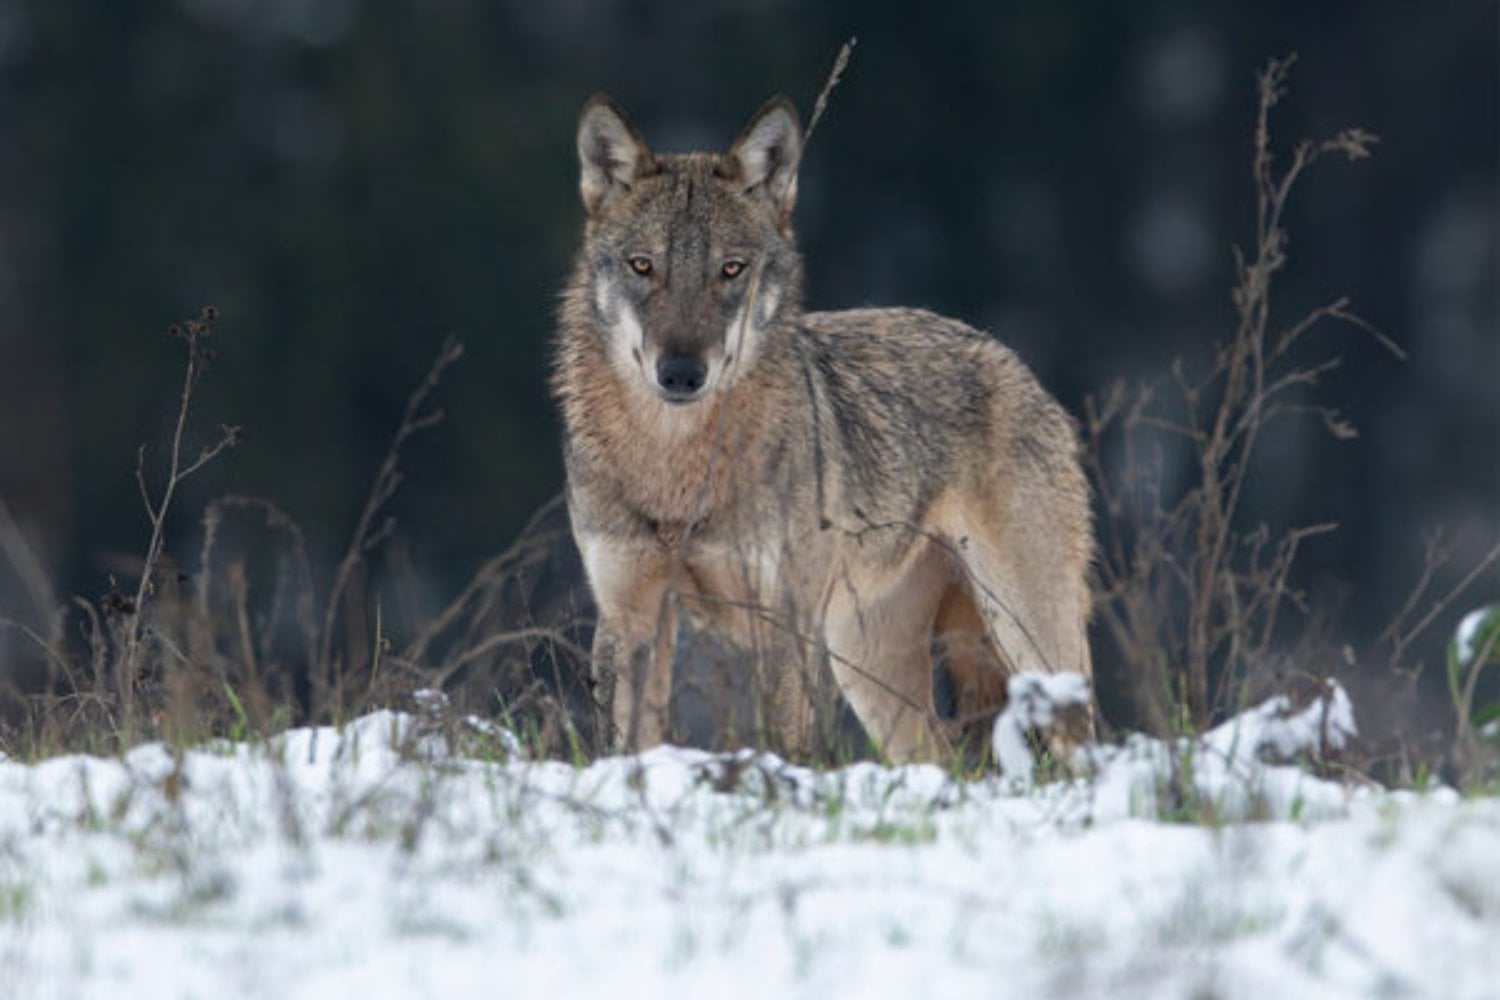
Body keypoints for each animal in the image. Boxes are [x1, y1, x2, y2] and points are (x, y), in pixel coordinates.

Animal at [553, 94, 1094, 763]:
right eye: (642, 266)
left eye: (731, 269)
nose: (681, 373)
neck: (676, 468)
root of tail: (1015, 363)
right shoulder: (629, 616)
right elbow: (624, 747)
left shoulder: (781, 623)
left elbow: (786, 744)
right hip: (870, 669)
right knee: (940, 758)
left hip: (1029, 641)